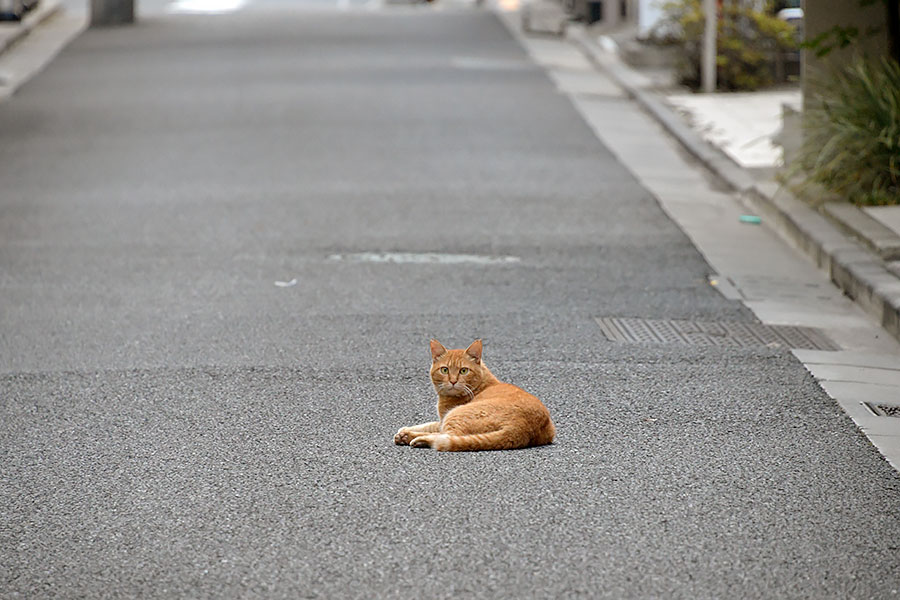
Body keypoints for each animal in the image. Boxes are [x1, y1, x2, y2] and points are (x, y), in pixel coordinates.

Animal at [394, 340, 556, 452]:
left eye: (463, 371)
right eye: (445, 370)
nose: (453, 381)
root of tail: (522, 427)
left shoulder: (444, 418)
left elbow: (431, 426)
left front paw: (406, 432)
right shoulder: (441, 420)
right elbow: (428, 424)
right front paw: (404, 430)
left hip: (456, 415)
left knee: (447, 437)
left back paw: (416, 439)